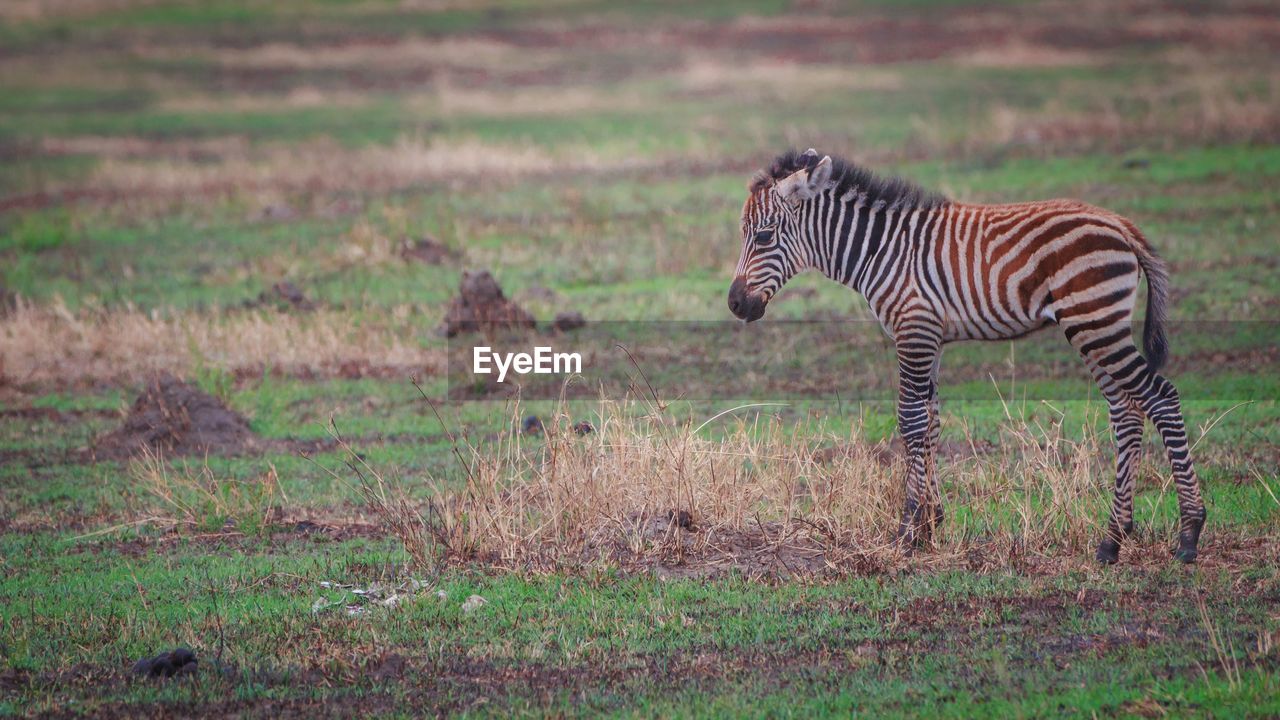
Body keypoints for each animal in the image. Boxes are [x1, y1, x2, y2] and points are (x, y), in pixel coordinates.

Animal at [732, 148, 1208, 563]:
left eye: (763, 236)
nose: (735, 305)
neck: (878, 250)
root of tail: (1122, 224)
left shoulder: (914, 329)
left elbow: (910, 420)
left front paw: (907, 531)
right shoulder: (931, 338)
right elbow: (931, 423)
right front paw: (931, 524)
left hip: (1094, 321)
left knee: (1161, 398)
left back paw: (1189, 533)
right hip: (1097, 326)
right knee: (1126, 410)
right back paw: (1112, 540)